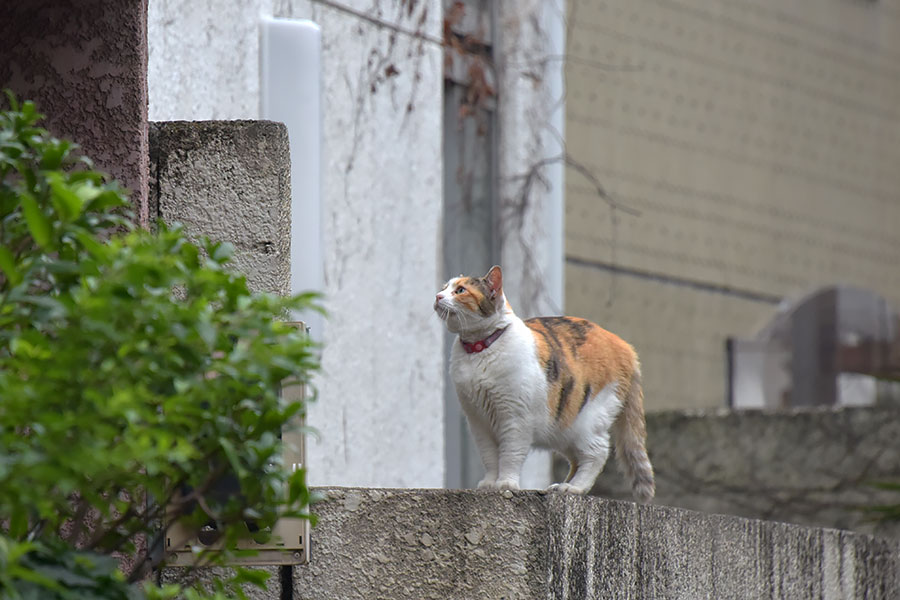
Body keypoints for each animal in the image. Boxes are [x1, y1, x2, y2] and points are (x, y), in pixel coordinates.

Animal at [434, 266, 652, 502]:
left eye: (460, 290)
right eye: (444, 288)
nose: (437, 296)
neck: (479, 349)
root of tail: (624, 345)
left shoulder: (515, 418)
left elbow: (510, 455)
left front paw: (506, 483)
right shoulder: (478, 421)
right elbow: (490, 456)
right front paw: (490, 483)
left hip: (587, 421)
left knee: (597, 453)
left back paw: (574, 488)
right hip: (563, 427)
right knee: (577, 459)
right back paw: (562, 485)